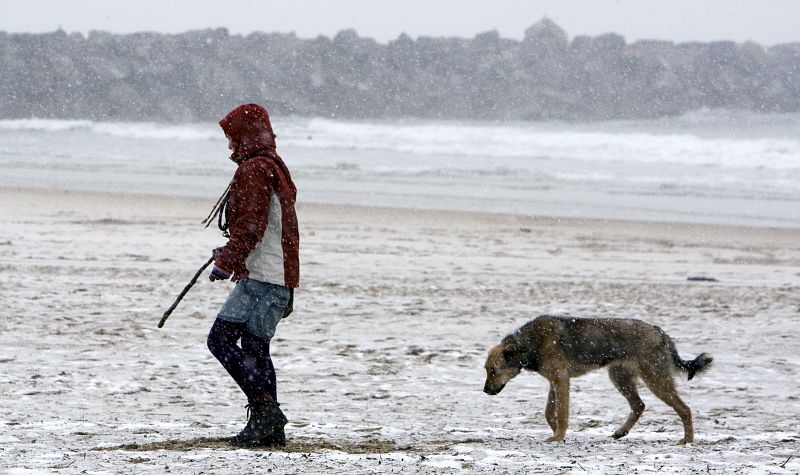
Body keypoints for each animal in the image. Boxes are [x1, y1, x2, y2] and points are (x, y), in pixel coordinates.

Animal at [482, 316, 712, 446]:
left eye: (493, 370)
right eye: (486, 370)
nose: (485, 391)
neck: (529, 344)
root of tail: (660, 332)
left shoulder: (561, 380)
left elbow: (562, 413)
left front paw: (558, 436)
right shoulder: (555, 382)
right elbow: (549, 412)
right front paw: (557, 431)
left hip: (655, 380)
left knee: (684, 409)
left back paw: (687, 440)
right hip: (620, 378)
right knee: (639, 405)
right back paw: (621, 431)